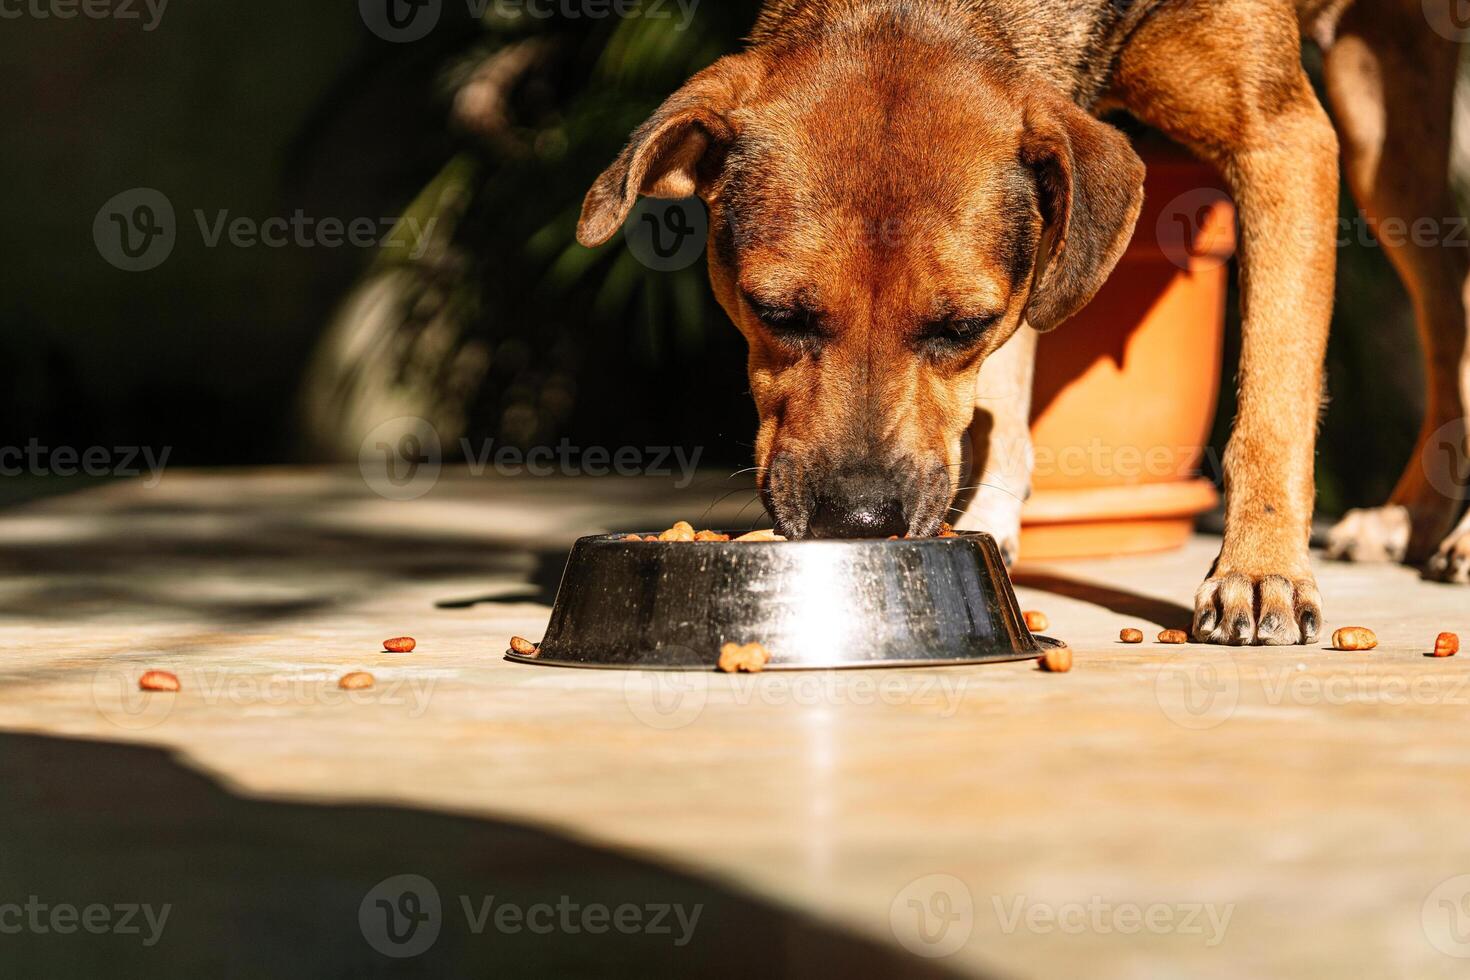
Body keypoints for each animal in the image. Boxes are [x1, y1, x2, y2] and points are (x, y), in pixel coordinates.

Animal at [573, 0, 1470, 643]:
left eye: (960, 324)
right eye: (775, 312)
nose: (857, 523)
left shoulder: (1281, 137)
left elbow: (1272, 400)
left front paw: (1260, 568)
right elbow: (1002, 392)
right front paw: (988, 524)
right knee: (1447, 305)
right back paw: (1414, 518)